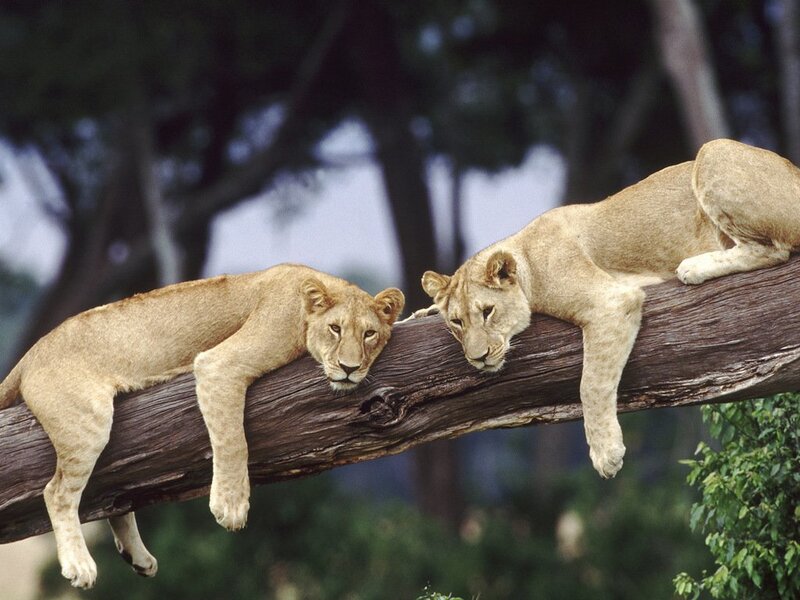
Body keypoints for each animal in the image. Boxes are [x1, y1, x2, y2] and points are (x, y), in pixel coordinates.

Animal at [0, 264, 404, 589]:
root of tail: (29, 356)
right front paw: (231, 506)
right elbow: (233, 439)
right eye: (335, 328)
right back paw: (79, 565)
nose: (349, 368)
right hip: (89, 421)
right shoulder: (219, 364)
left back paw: (137, 557)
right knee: (57, 492)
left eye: (369, 334)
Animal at [419, 138, 800, 479]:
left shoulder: (610, 301)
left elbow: (590, 383)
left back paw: (693, 267)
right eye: (456, 323)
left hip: (713, 151)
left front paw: (606, 453)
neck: (524, 254)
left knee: (774, 250)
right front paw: (422, 312)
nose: (479, 358)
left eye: (487, 312)